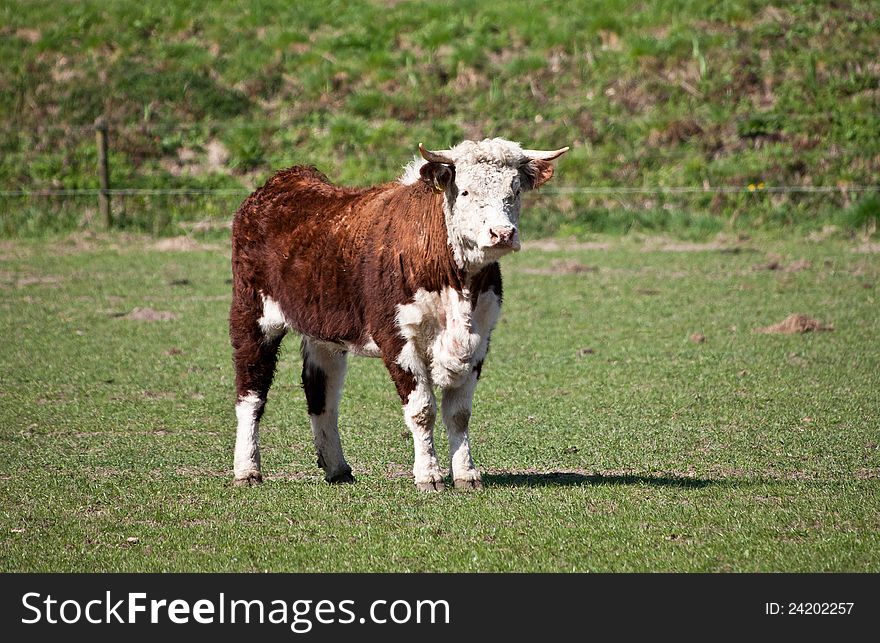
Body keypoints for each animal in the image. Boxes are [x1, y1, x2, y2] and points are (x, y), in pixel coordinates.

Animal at [230, 138, 568, 490]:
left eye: (514, 190)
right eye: (464, 191)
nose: (502, 233)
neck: (456, 284)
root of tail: (283, 181)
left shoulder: (480, 338)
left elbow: (459, 413)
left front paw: (466, 474)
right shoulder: (397, 339)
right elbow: (422, 409)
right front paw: (429, 475)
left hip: (323, 332)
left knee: (321, 394)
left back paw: (337, 467)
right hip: (251, 316)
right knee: (251, 392)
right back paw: (247, 469)